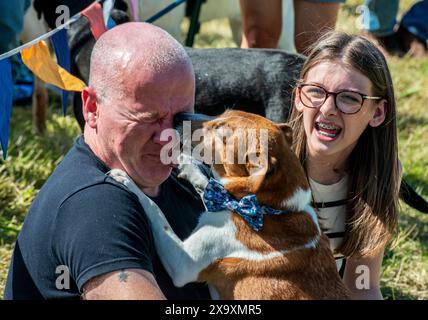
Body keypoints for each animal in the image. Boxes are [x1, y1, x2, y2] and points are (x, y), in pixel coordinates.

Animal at [108, 110, 350, 300]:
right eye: (222, 113)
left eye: (221, 132)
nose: (179, 115)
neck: (269, 209)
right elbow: (210, 184)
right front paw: (188, 165)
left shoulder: (183, 262)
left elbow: (155, 210)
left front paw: (127, 180)